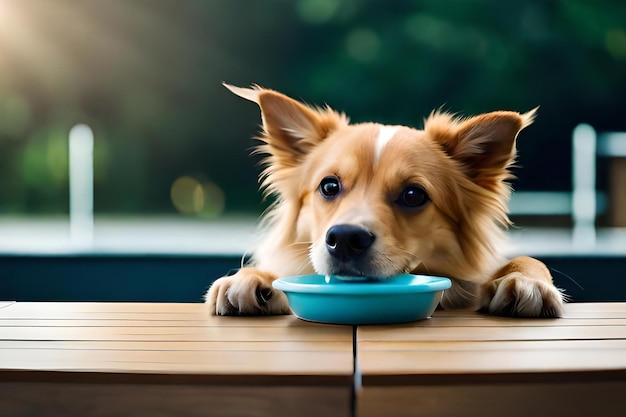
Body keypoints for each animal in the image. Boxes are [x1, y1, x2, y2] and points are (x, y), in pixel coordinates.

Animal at [207, 83, 564, 318]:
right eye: (329, 186)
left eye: (413, 195)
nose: (345, 239)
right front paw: (251, 277)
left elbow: (528, 261)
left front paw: (525, 280)